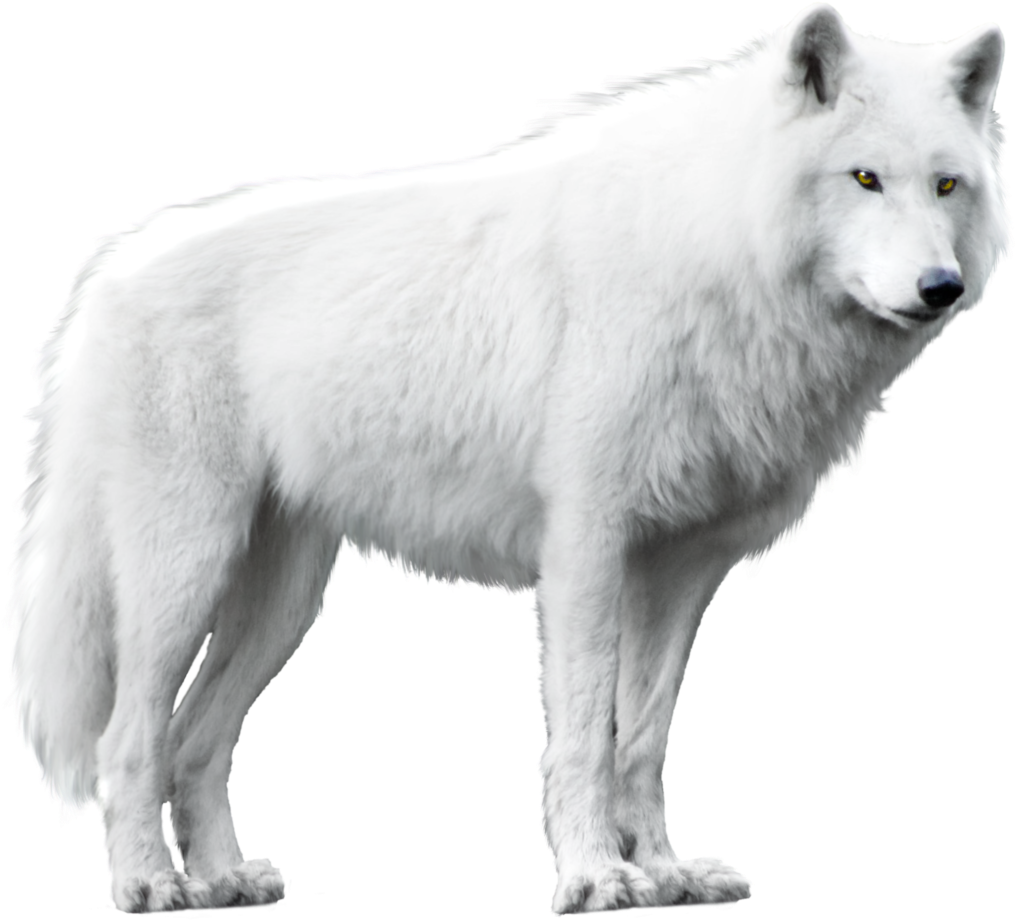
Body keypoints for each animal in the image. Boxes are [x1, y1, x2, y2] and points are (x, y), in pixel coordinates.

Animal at [6, 2, 1010, 915]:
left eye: (947, 186)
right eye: (865, 177)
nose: (940, 287)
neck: (715, 250)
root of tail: (108, 273)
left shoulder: (681, 569)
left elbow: (643, 740)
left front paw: (667, 873)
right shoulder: (587, 550)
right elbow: (585, 736)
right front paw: (598, 878)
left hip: (281, 605)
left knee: (195, 742)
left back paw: (222, 881)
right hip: (185, 575)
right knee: (128, 741)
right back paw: (149, 885)